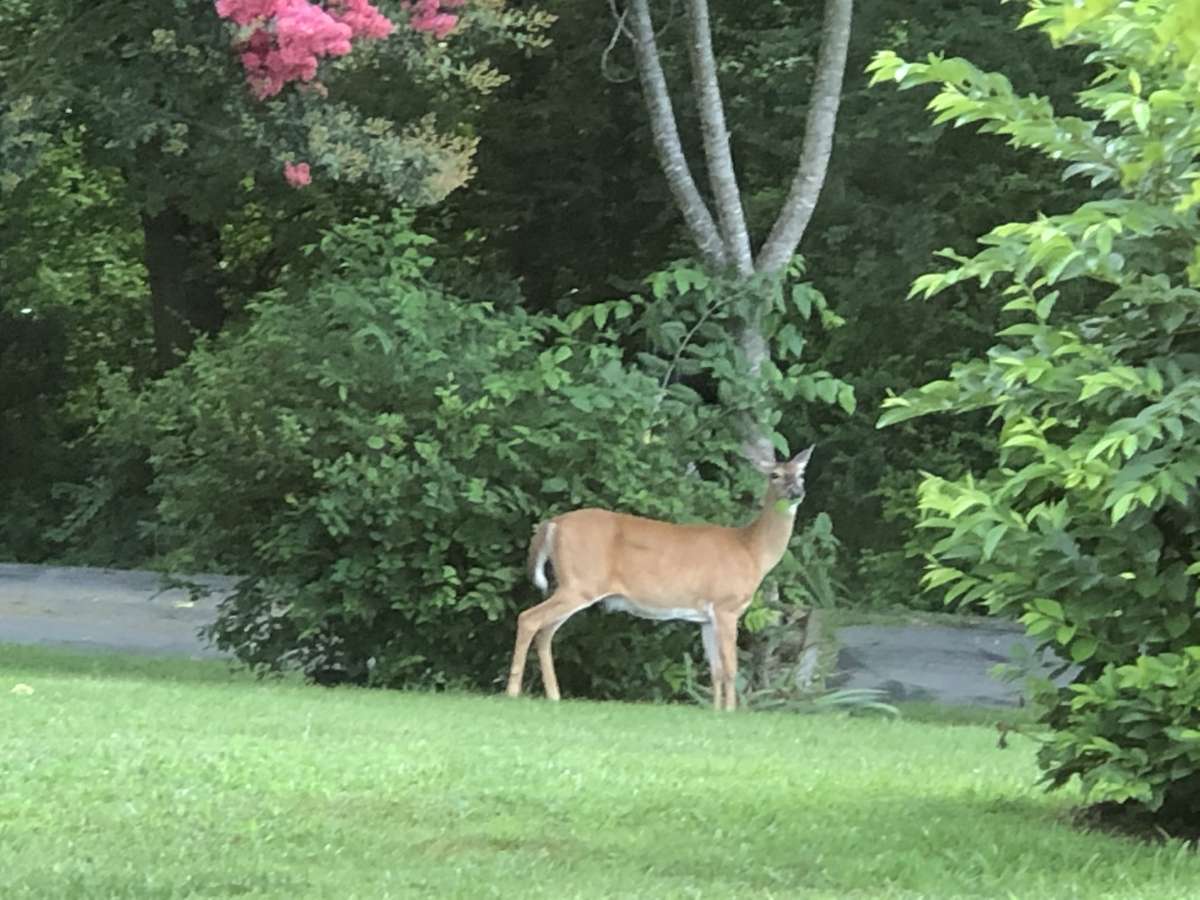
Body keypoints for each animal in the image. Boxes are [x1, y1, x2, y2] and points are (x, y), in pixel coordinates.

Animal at [505, 445, 813, 710]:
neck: (750, 550)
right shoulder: (726, 606)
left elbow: (714, 669)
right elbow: (731, 667)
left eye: (801, 474)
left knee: (545, 631)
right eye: (775, 475)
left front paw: (716, 712)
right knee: (529, 619)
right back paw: (513, 691)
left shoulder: (706, 616)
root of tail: (552, 524)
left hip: (572, 585)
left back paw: (553, 695)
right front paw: (731, 711)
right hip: (580, 583)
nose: (797, 491)